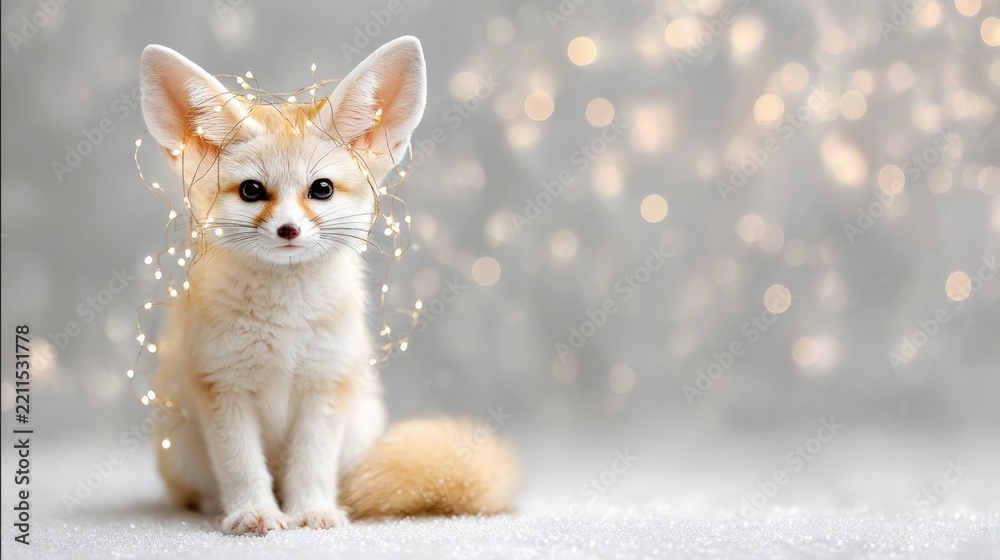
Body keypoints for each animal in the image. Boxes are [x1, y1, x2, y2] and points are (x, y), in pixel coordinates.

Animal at [138, 36, 520, 536]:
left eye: (321, 189)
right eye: (251, 191)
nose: (288, 230)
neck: (283, 325)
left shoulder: (325, 384)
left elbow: (311, 465)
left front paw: (313, 511)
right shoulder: (222, 386)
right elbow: (242, 466)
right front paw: (255, 512)